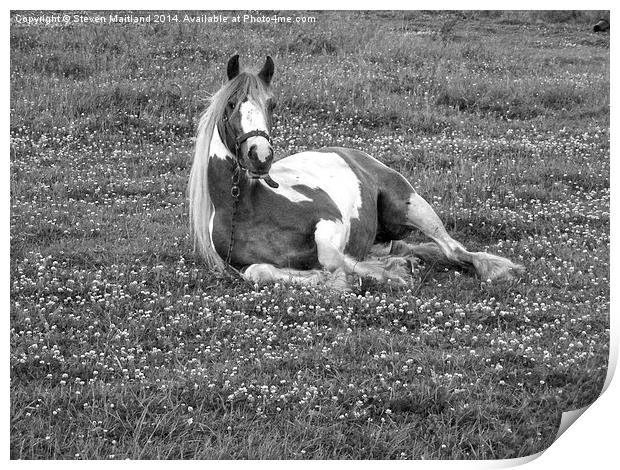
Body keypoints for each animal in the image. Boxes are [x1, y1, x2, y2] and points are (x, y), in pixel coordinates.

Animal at [188, 56, 524, 290]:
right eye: (231, 104)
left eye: (271, 105)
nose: (260, 156)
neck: (246, 207)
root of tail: (358, 154)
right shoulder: (239, 266)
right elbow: (260, 272)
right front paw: (327, 279)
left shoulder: (330, 220)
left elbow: (332, 258)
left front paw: (388, 276)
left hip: (412, 207)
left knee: (454, 250)